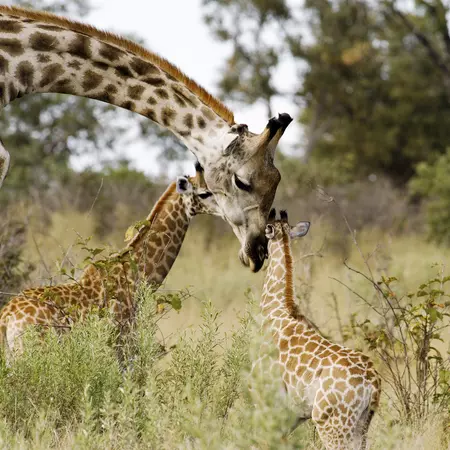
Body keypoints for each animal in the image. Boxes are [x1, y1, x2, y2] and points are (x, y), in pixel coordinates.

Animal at [255, 210, 381, 450]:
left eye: (264, 233)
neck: (276, 310)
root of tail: (372, 382)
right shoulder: (294, 414)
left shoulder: (268, 399)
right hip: (362, 424)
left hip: (331, 423)